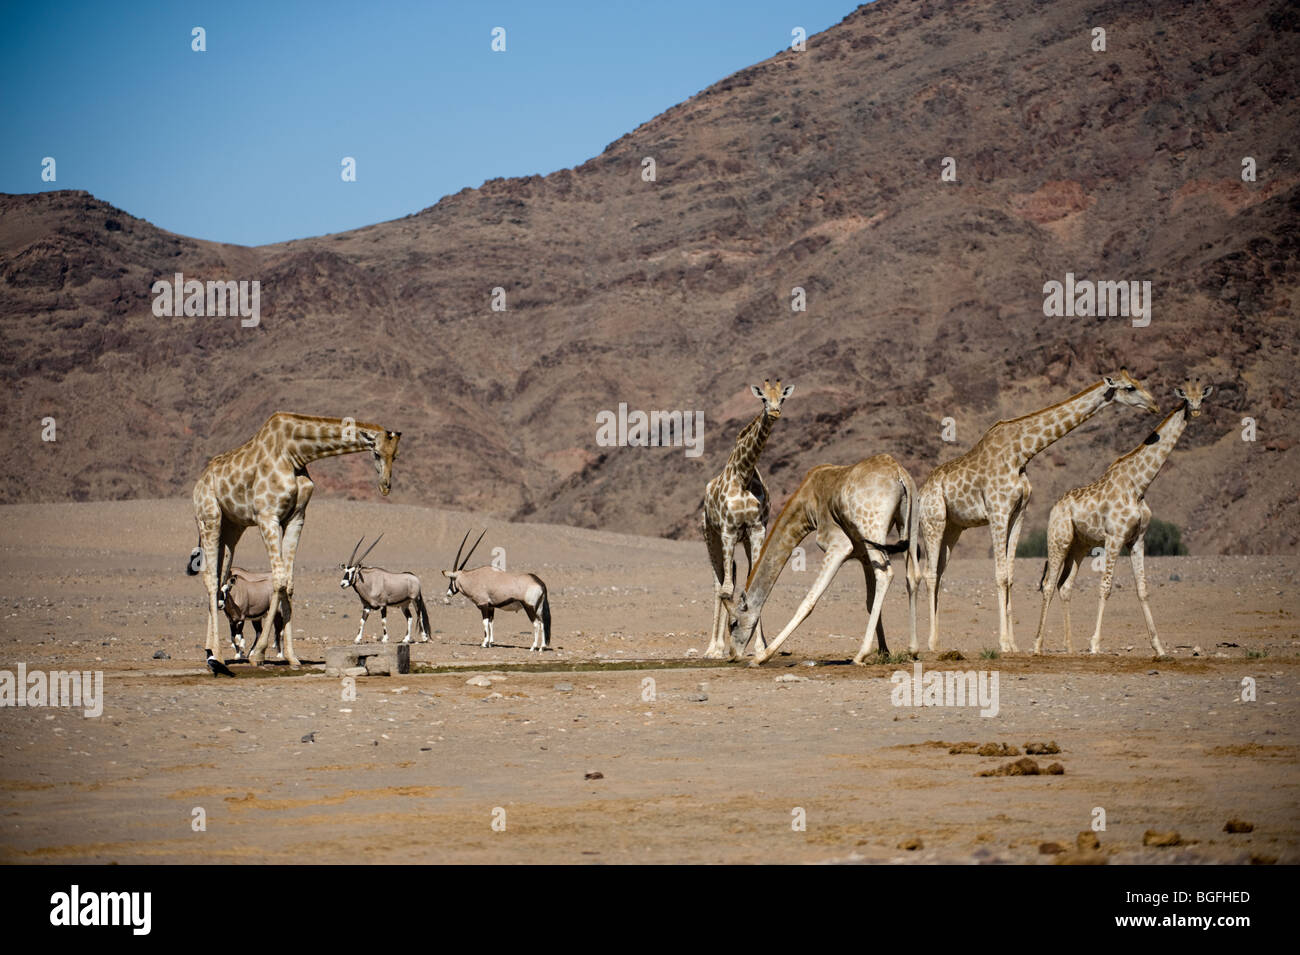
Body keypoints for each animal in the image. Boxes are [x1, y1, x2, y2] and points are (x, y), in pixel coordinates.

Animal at [188, 413, 401, 667]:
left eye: (396, 455)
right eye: (376, 453)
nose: (385, 487)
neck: (294, 454)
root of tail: (199, 482)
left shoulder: (296, 518)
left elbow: (288, 584)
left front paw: (292, 657)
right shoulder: (267, 517)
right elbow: (278, 580)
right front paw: (257, 654)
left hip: (233, 527)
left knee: (221, 574)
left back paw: (209, 651)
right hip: (209, 518)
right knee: (210, 578)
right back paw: (217, 655)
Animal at [700, 379, 793, 659]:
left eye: (782, 398)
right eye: (763, 398)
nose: (774, 412)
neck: (743, 474)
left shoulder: (756, 529)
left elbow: (753, 583)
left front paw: (761, 647)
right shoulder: (728, 529)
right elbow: (727, 589)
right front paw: (723, 648)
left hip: (739, 539)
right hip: (711, 536)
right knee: (718, 583)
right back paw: (713, 648)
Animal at [728, 454, 919, 665]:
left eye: (733, 623)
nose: (732, 655)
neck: (807, 505)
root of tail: (900, 474)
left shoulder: (839, 545)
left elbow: (808, 601)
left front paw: (761, 657)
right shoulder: (862, 554)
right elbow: (870, 601)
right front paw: (884, 651)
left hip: (873, 530)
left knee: (886, 574)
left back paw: (860, 654)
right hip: (907, 526)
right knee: (913, 576)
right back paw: (913, 650)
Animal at [918, 370, 1159, 653]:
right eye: (1131, 388)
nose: (1154, 405)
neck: (1022, 453)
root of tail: (921, 492)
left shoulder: (1018, 513)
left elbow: (1010, 575)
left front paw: (1013, 645)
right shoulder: (997, 510)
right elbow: (1000, 575)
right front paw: (1003, 643)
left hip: (953, 528)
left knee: (939, 572)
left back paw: (938, 640)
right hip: (933, 520)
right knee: (930, 573)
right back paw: (931, 643)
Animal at [1032, 381, 1211, 657]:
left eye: (1202, 397)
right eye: (1186, 398)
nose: (1196, 411)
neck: (1139, 485)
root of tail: (1055, 507)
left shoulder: (1137, 539)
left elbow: (1143, 589)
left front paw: (1159, 647)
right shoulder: (1114, 537)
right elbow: (1106, 587)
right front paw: (1095, 644)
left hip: (1079, 545)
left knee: (1065, 586)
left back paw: (1069, 647)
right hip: (1058, 539)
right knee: (1049, 584)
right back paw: (1038, 645)